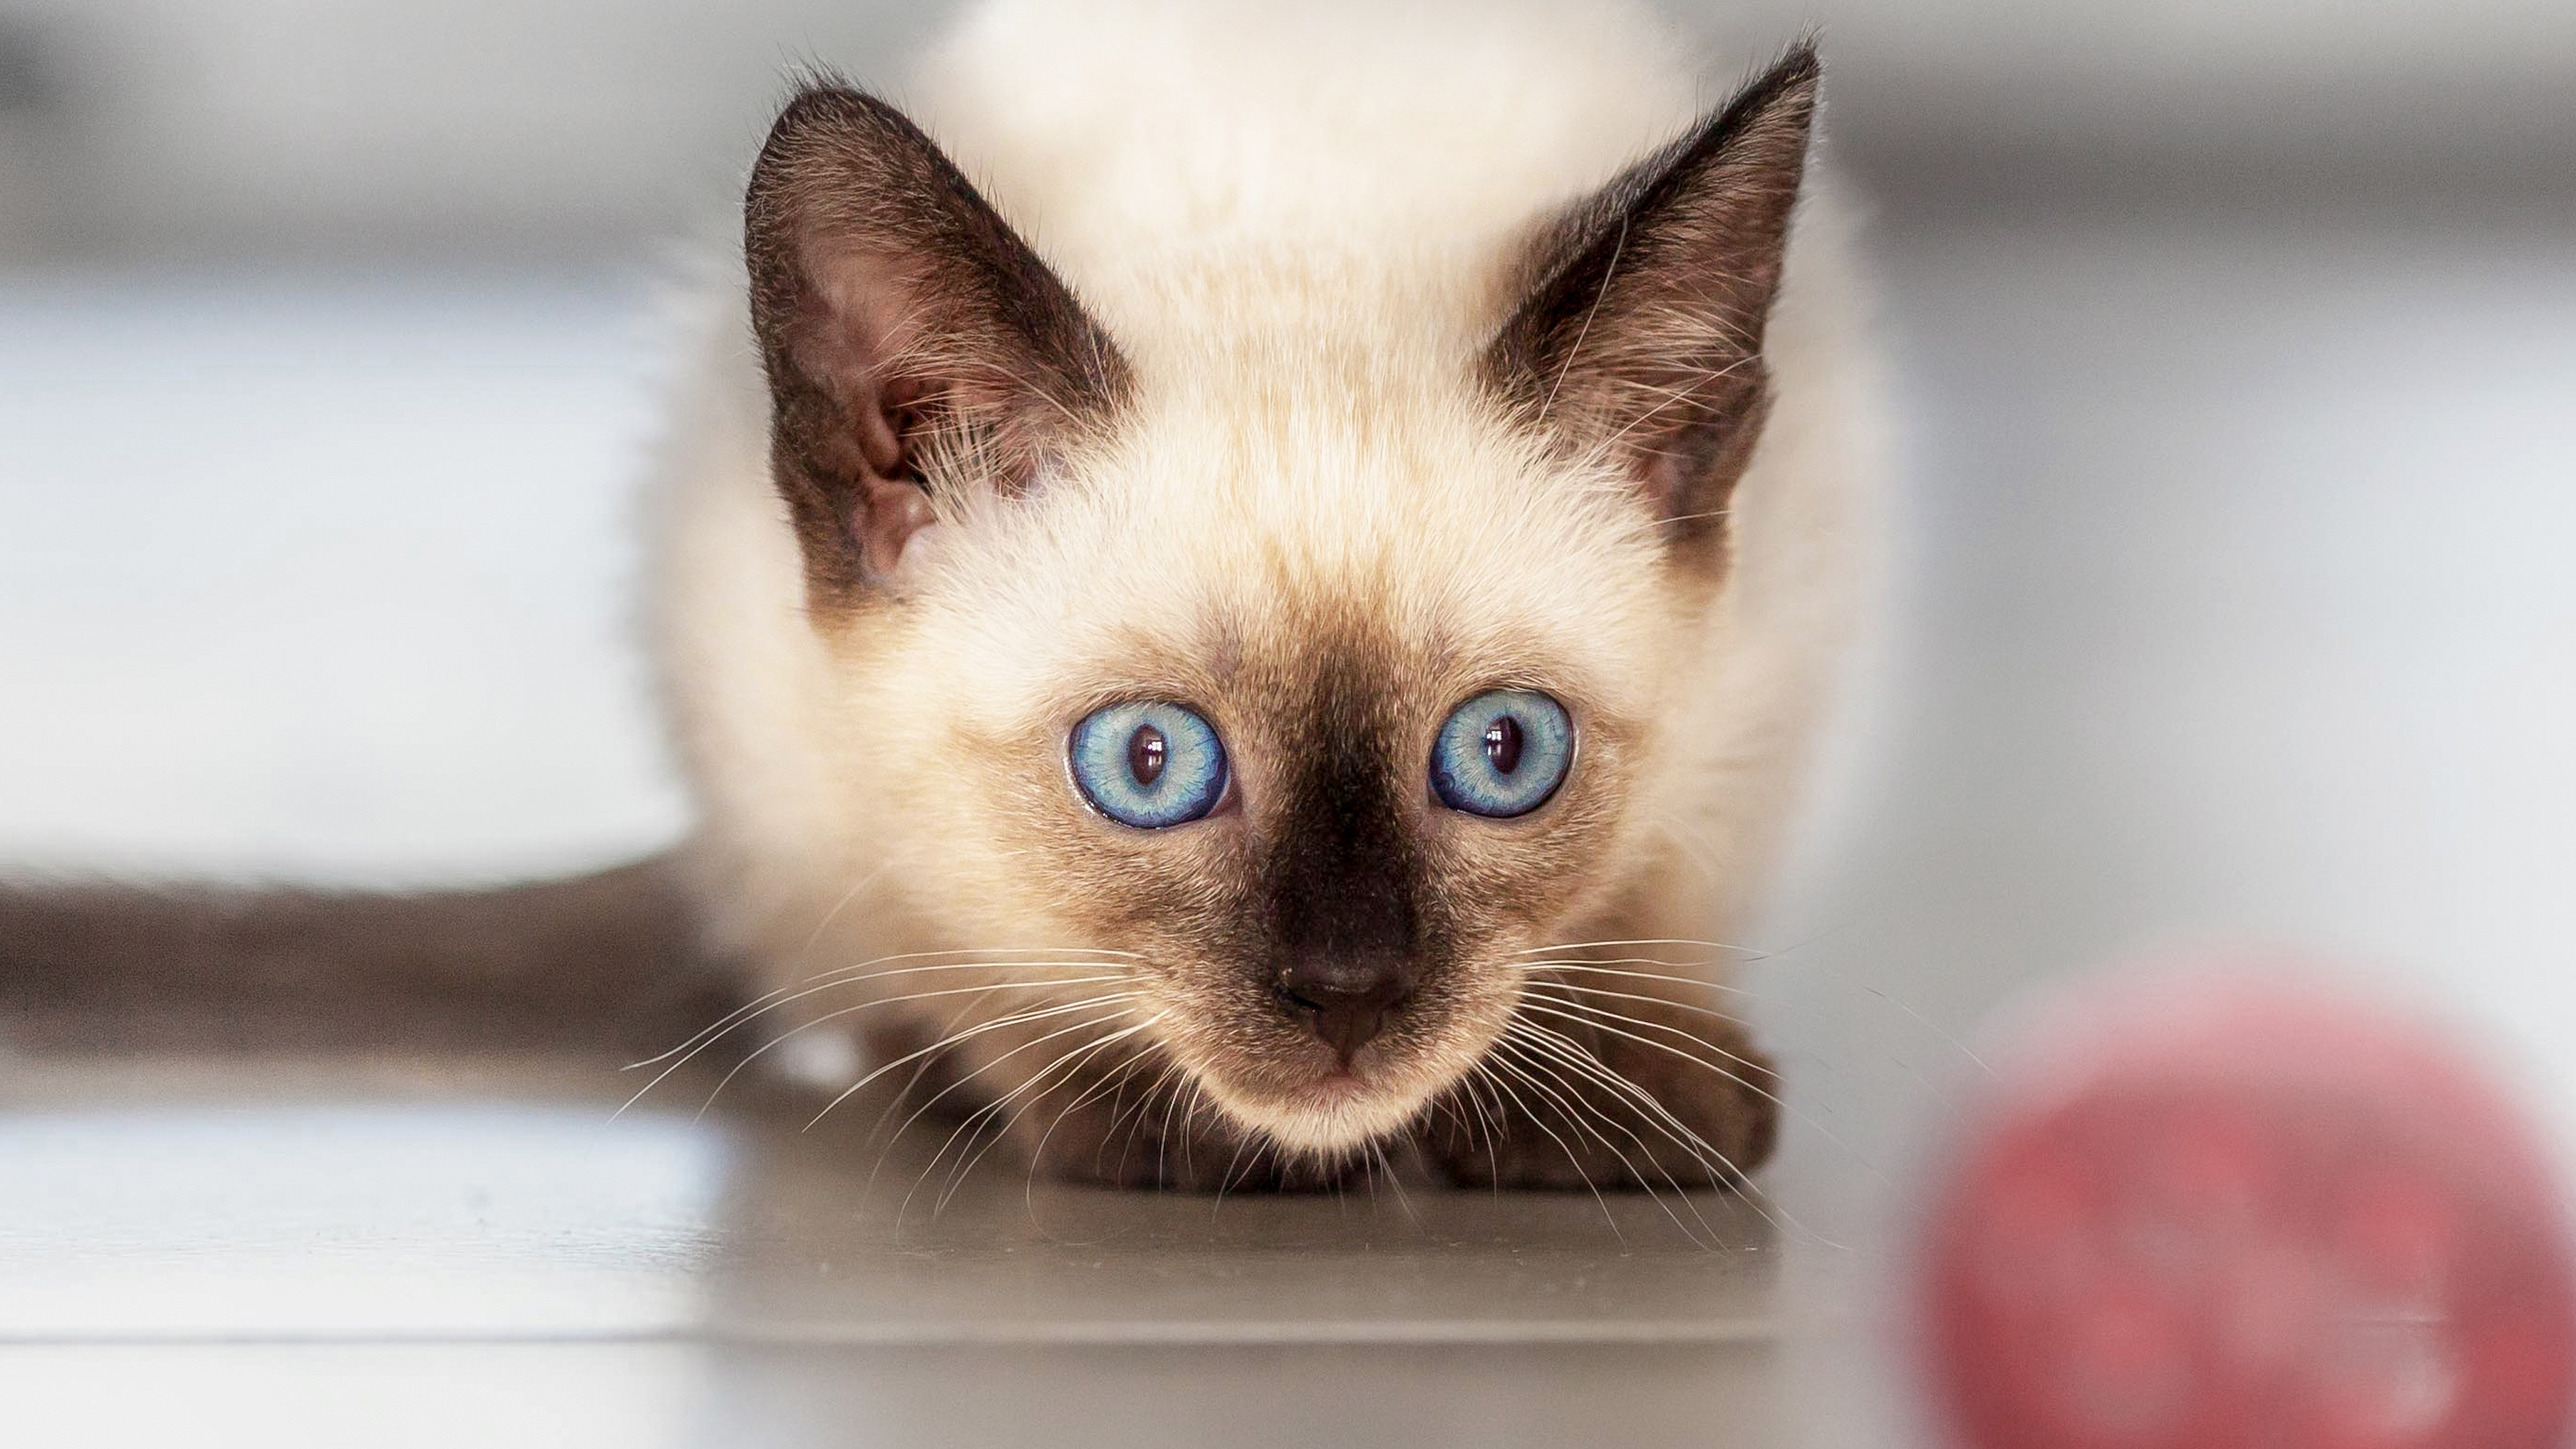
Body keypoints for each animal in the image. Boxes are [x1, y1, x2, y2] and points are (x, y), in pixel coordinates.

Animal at [0, 0, 1875, 1191]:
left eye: (1500, 756)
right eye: (1149, 768)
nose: (1346, 995)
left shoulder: (1779, 670)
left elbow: (1662, 897)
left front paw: (1621, 1090)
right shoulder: (805, 765)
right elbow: (955, 947)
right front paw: (1127, 1111)